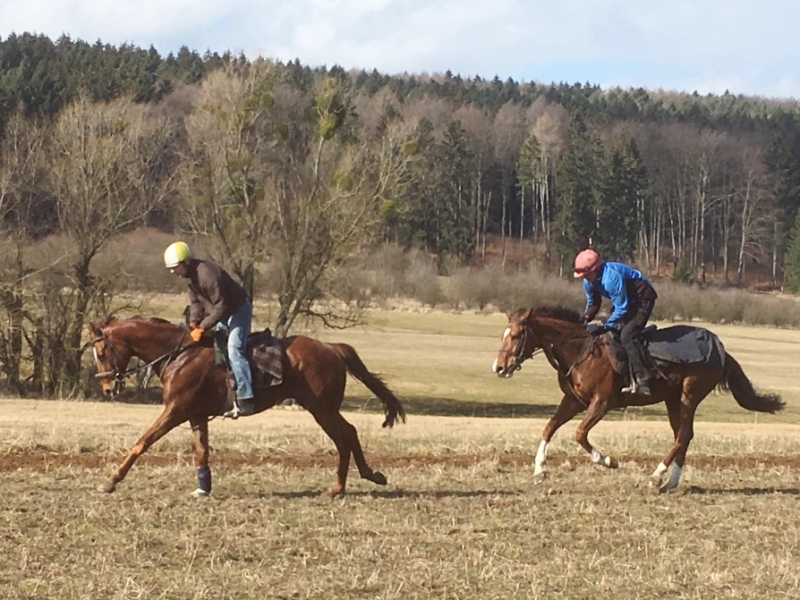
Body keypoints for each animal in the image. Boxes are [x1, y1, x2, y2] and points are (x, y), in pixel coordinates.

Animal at [87, 314, 406, 496]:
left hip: (322, 408)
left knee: (346, 435)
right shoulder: (196, 415)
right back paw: (360, 478)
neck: (178, 354)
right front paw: (204, 487)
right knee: (347, 434)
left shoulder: (175, 410)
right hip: (321, 408)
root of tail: (332, 348)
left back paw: (346, 484)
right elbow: (201, 452)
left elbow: (142, 442)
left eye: (101, 352)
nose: (107, 388)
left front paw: (111, 480)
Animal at [490, 308, 784, 490]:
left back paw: (656, 476)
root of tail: (721, 350)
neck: (581, 350)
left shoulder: (602, 402)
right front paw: (540, 470)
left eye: (516, 335)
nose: (499, 367)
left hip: (689, 395)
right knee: (683, 436)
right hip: (672, 400)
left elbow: (580, 433)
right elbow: (549, 428)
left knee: (683, 435)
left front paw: (608, 460)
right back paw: (669, 482)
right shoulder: (574, 401)